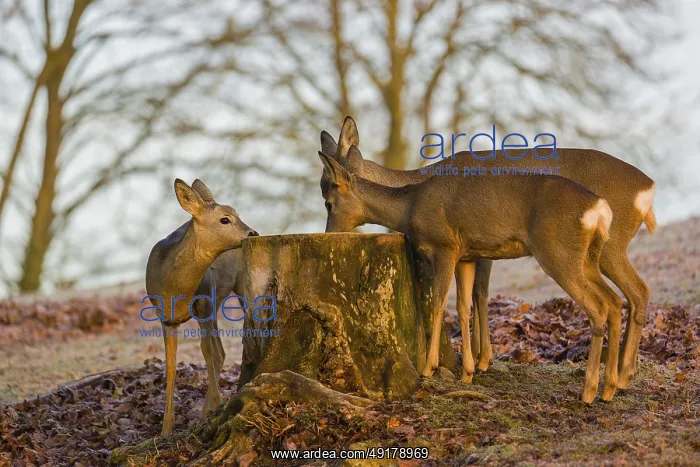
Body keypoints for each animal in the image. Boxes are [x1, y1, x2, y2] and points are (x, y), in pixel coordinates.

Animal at [145, 179, 258, 436]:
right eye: (225, 219)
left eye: (237, 213)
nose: (253, 233)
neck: (174, 287)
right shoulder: (165, 318)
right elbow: (171, 366)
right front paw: (166, 429)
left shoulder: (204, 302)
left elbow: (207, 351)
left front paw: (216, 404)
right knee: (221, 350)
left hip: (236, 288)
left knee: (221, 348)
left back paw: (208, 411)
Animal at [319, 116, 656, 390]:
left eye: (327, 194)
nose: (328, 233)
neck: (412, 193)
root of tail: (648, 188)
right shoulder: (473, 251)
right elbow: (471, 299)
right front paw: (477, 363)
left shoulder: (454, 248)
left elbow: (453, 300)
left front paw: (453, 365)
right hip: (596, 255)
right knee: (628, 296)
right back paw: (618, 378)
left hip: (594, 249)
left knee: (628, 295)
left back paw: (607, 382)